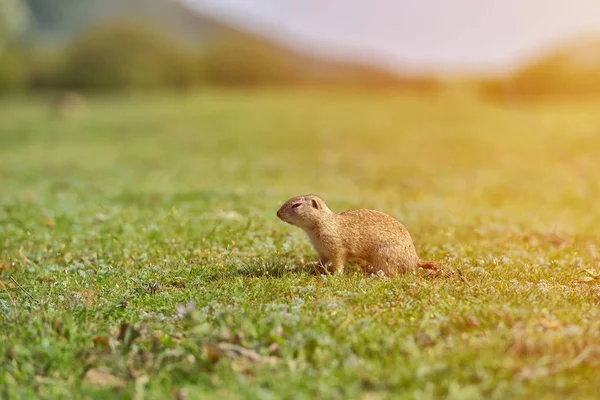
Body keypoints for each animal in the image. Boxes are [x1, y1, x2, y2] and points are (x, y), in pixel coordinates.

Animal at [276, 194, 440, 276]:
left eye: (296, 205)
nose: (277, 214)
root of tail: (415, 260)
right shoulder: (322, 251)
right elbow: (321, 262)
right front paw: (313, 269)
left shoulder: (337, 248)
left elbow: (338, 262)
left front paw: (335, 276)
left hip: (383, 257)